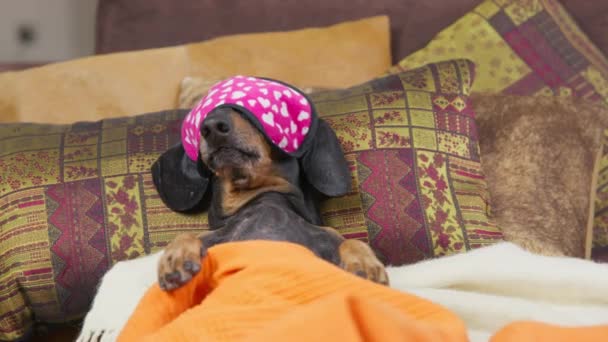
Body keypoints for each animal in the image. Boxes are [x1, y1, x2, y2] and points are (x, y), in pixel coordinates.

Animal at [153, 76, 390, 290]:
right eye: (205, 115)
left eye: (245, 110)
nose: (211, 127)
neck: (264, 198)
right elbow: (187, 234)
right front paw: (176, 257)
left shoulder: (327, 237)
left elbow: (353, 241)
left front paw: (364, 265)